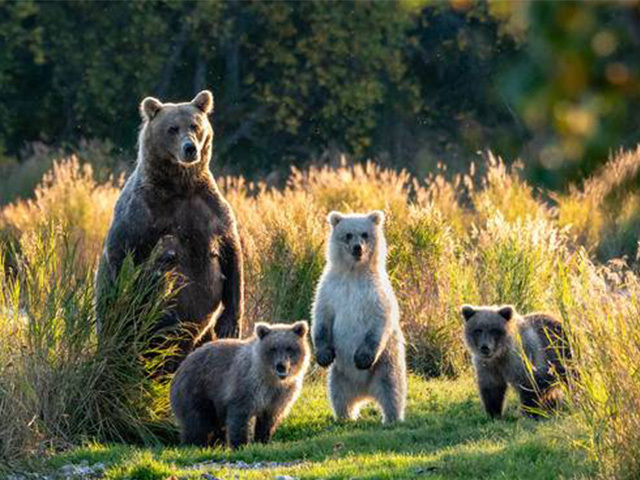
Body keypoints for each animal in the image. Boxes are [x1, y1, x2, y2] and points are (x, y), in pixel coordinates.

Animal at [96, 90, 244, 371]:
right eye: (172, 128)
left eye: (195, 126)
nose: (190, 148)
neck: (180, 185)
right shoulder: (141, 214)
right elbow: (125, 259)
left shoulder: (210, 210)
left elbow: (232, 255)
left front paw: (230, 324)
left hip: (202, 338)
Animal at [170, 321, 311, 449]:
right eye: (273, 349)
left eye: (289, 348)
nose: (281, 366)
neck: (271, 379)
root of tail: (181, 367)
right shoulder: (247, 385)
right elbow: (239, 415)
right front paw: (241, 444)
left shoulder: (280, 395)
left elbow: (268, 420)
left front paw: (262, 441)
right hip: (197, 389)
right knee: (197, 421)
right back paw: (195, 444)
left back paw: (217, 444)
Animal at [311, 210, 407, 423]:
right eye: (348, 235)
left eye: (364, 234)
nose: (357, 248)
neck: (353, 273)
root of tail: (365, 392)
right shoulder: (330, 289)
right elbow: (321, 317)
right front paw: (323, 355)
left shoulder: (376, 292)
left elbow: (380, 320)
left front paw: (362, 358)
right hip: (340, 374)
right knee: (339, 396)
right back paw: (345, 417)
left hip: (385, 364)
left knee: (392, 390)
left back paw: (391, 418)